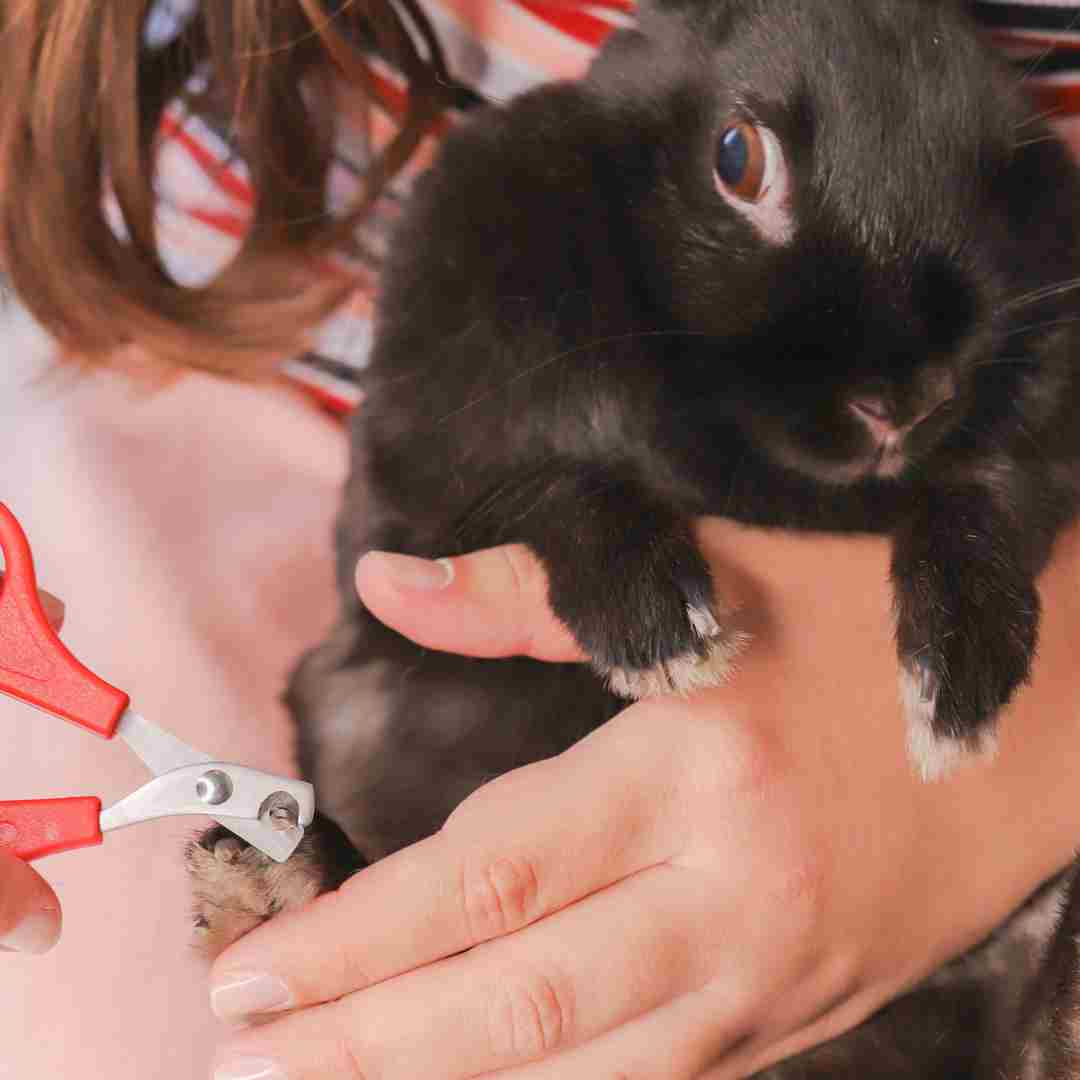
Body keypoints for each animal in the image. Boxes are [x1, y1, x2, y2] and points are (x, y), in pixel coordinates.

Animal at [192, 2, 1080, 1071]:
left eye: (1002, 180)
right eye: (738, 158)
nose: (906, 399)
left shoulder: (1031, 459)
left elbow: (985, 502)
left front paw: (958, 683)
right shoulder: (419, 501)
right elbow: (553, 487)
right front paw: (660, 628)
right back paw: (269, 882)